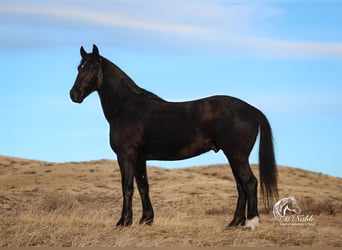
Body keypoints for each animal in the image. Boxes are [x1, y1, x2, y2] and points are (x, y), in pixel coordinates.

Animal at [69, 44, 278, 229]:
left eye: (92, 67)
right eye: (79, 67)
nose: (74, 94)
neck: (127, 107)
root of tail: (251, 109)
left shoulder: (126, 156)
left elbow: (127, 187)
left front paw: (124, 222)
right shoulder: (140, 158)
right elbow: (143, 186)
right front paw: (146, 220)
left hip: (237, 156)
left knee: (249, 183)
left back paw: (251, 223)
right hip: (234, 157)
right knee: (240, 186)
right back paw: (234, 223)